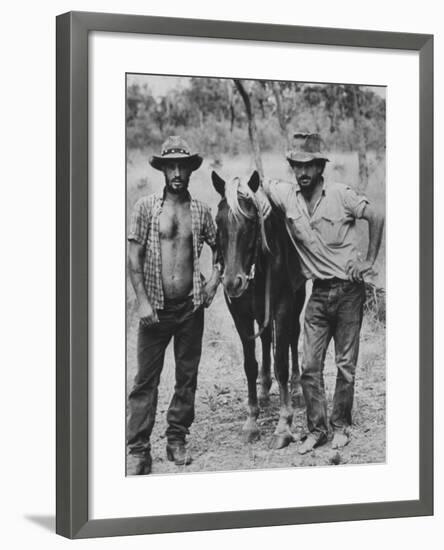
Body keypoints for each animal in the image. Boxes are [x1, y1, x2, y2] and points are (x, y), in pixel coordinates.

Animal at [212, 172, 306, 452]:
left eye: (251, 222)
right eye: (218, 221)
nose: (233, 282)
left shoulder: (283, 306)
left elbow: (282, 362)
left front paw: (284, 425)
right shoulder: (240, 314)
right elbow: (250, 365)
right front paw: (252, 420)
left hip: (297, 298)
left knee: (293, 336)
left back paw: (297, 389)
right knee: (265, 339)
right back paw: (264, 391)